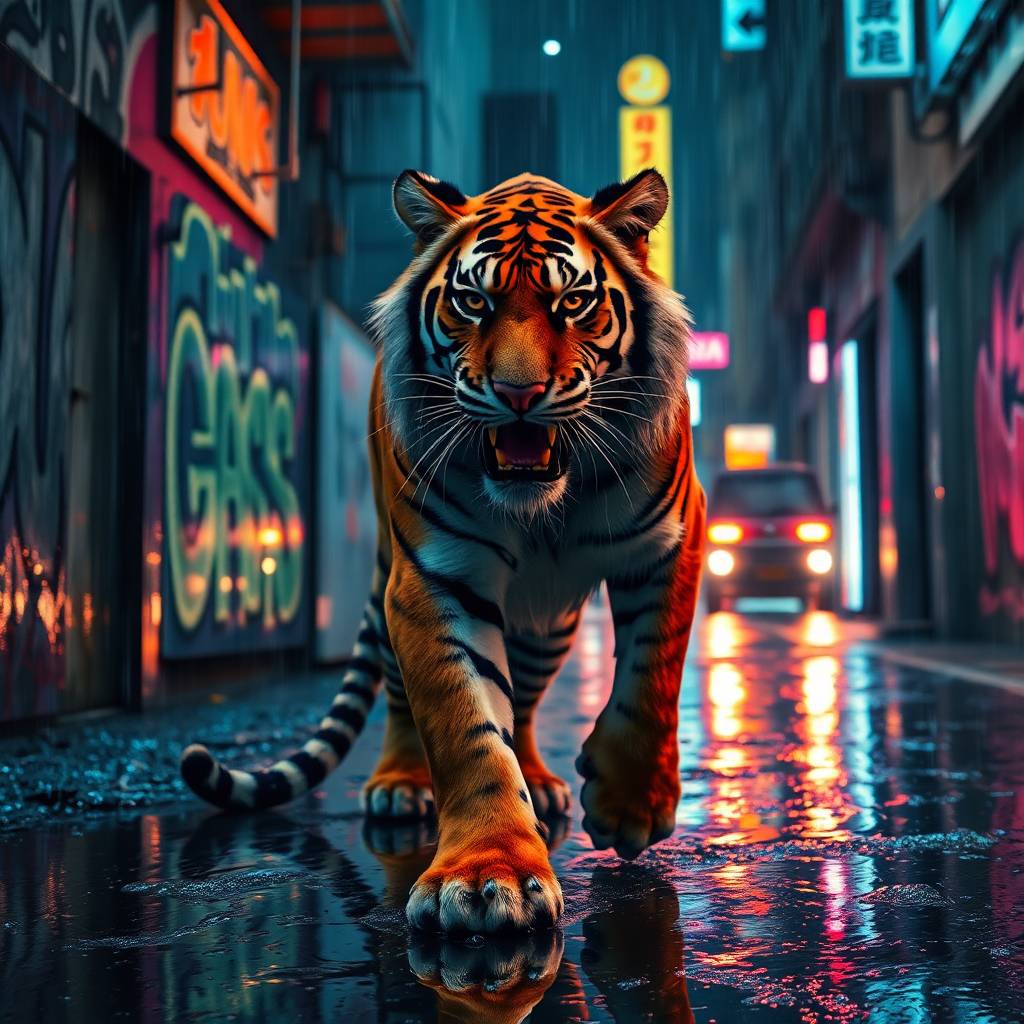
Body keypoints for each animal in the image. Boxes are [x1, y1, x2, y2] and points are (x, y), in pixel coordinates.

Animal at [180, 167, 705, 934]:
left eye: (573, 302)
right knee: (404, 699)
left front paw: (630, 806)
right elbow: (467, 727)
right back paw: (401, 785)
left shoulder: (672, 541)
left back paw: (540, 780)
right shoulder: (435, 577)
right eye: (472, 301)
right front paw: (489, 877)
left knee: (528, 697)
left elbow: (652, 674)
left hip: (549, 626)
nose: (518, 393)